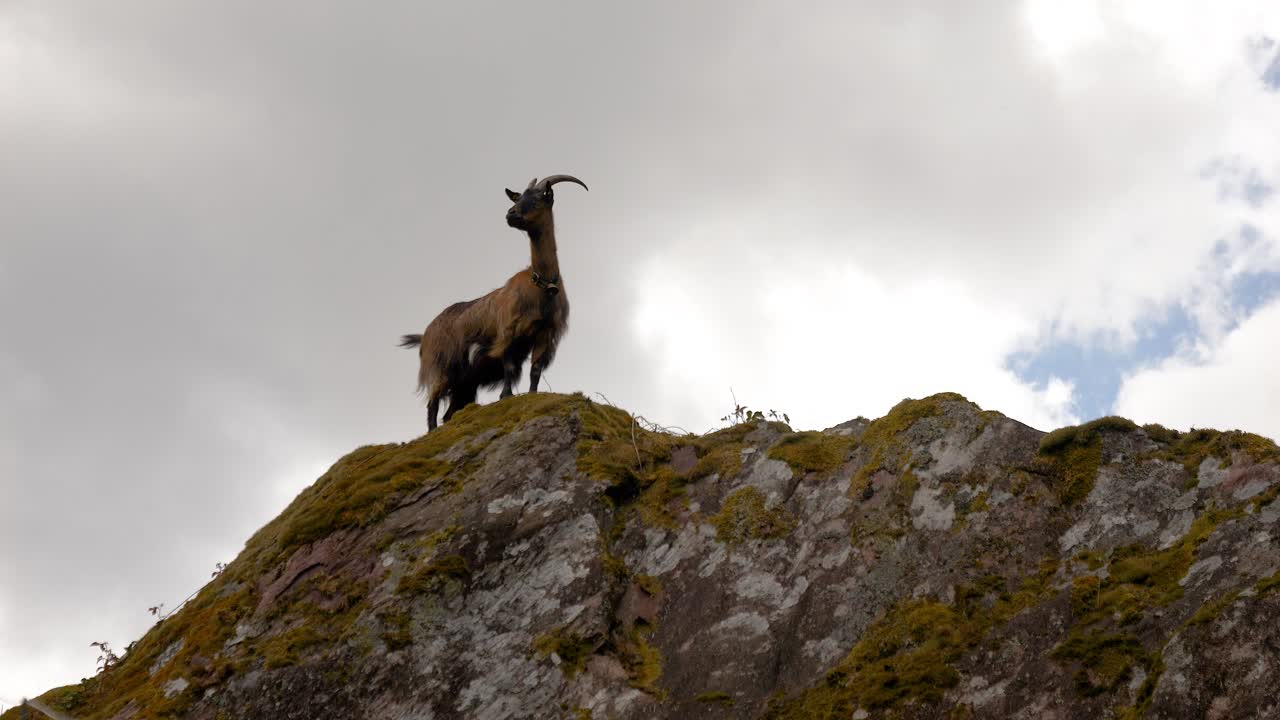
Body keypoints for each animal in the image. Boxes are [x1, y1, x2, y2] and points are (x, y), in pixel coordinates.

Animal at [399, 174, 588, 430]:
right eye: (519, 197)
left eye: (539, 197)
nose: (510, 214)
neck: (541, 285)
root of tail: (424, 334)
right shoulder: (508, 332)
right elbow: (508, 366)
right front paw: (506, 396)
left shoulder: (544, 334)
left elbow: (535, 370)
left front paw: (531, 395)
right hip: (440, 366)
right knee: (432, 405)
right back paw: (431, 432)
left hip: (465, 383)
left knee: (448, 412)